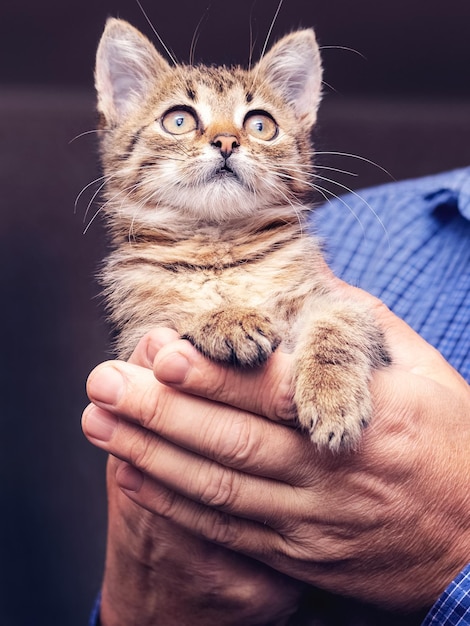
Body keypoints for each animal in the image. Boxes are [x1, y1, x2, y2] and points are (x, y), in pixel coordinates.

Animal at [92, 18, 390, 448]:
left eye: (261, 125)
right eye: (178, 120)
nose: (227, 141)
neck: (220, 248)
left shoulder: (335, 302)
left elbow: (340, 321)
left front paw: (332, 396)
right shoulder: (138, 335)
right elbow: (174, 315)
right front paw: (226, 319)